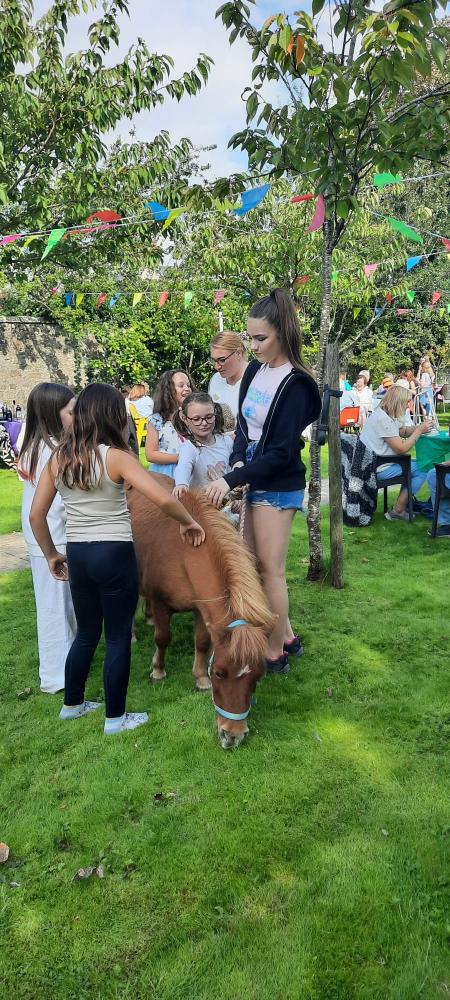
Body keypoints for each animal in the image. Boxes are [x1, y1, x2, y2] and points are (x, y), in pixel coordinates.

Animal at [126, 478, 274, 752]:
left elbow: (203, 642)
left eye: (258, 677)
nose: (233, 736)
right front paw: (158, 670)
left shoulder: (203, 608)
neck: (184, 550)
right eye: (219, 673)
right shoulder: (162, 602)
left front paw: (199, 678)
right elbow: (163, 638)